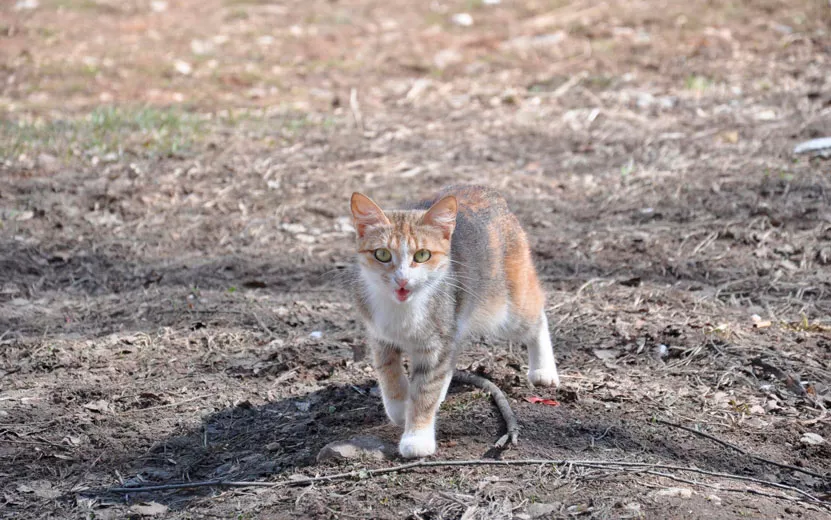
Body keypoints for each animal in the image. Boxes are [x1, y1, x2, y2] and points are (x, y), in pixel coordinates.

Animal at [348, 185, 564, 458]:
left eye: (422, 255)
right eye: (382, 254)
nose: (402, 280)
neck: (404, 307)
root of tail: (488, 191)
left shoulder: (437, 337)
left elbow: (425, 388)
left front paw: (417, 437)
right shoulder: (380, 334)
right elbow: (389, 372)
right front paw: (399, 407)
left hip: (506, 307)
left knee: (536, 318)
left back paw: (543, 370)